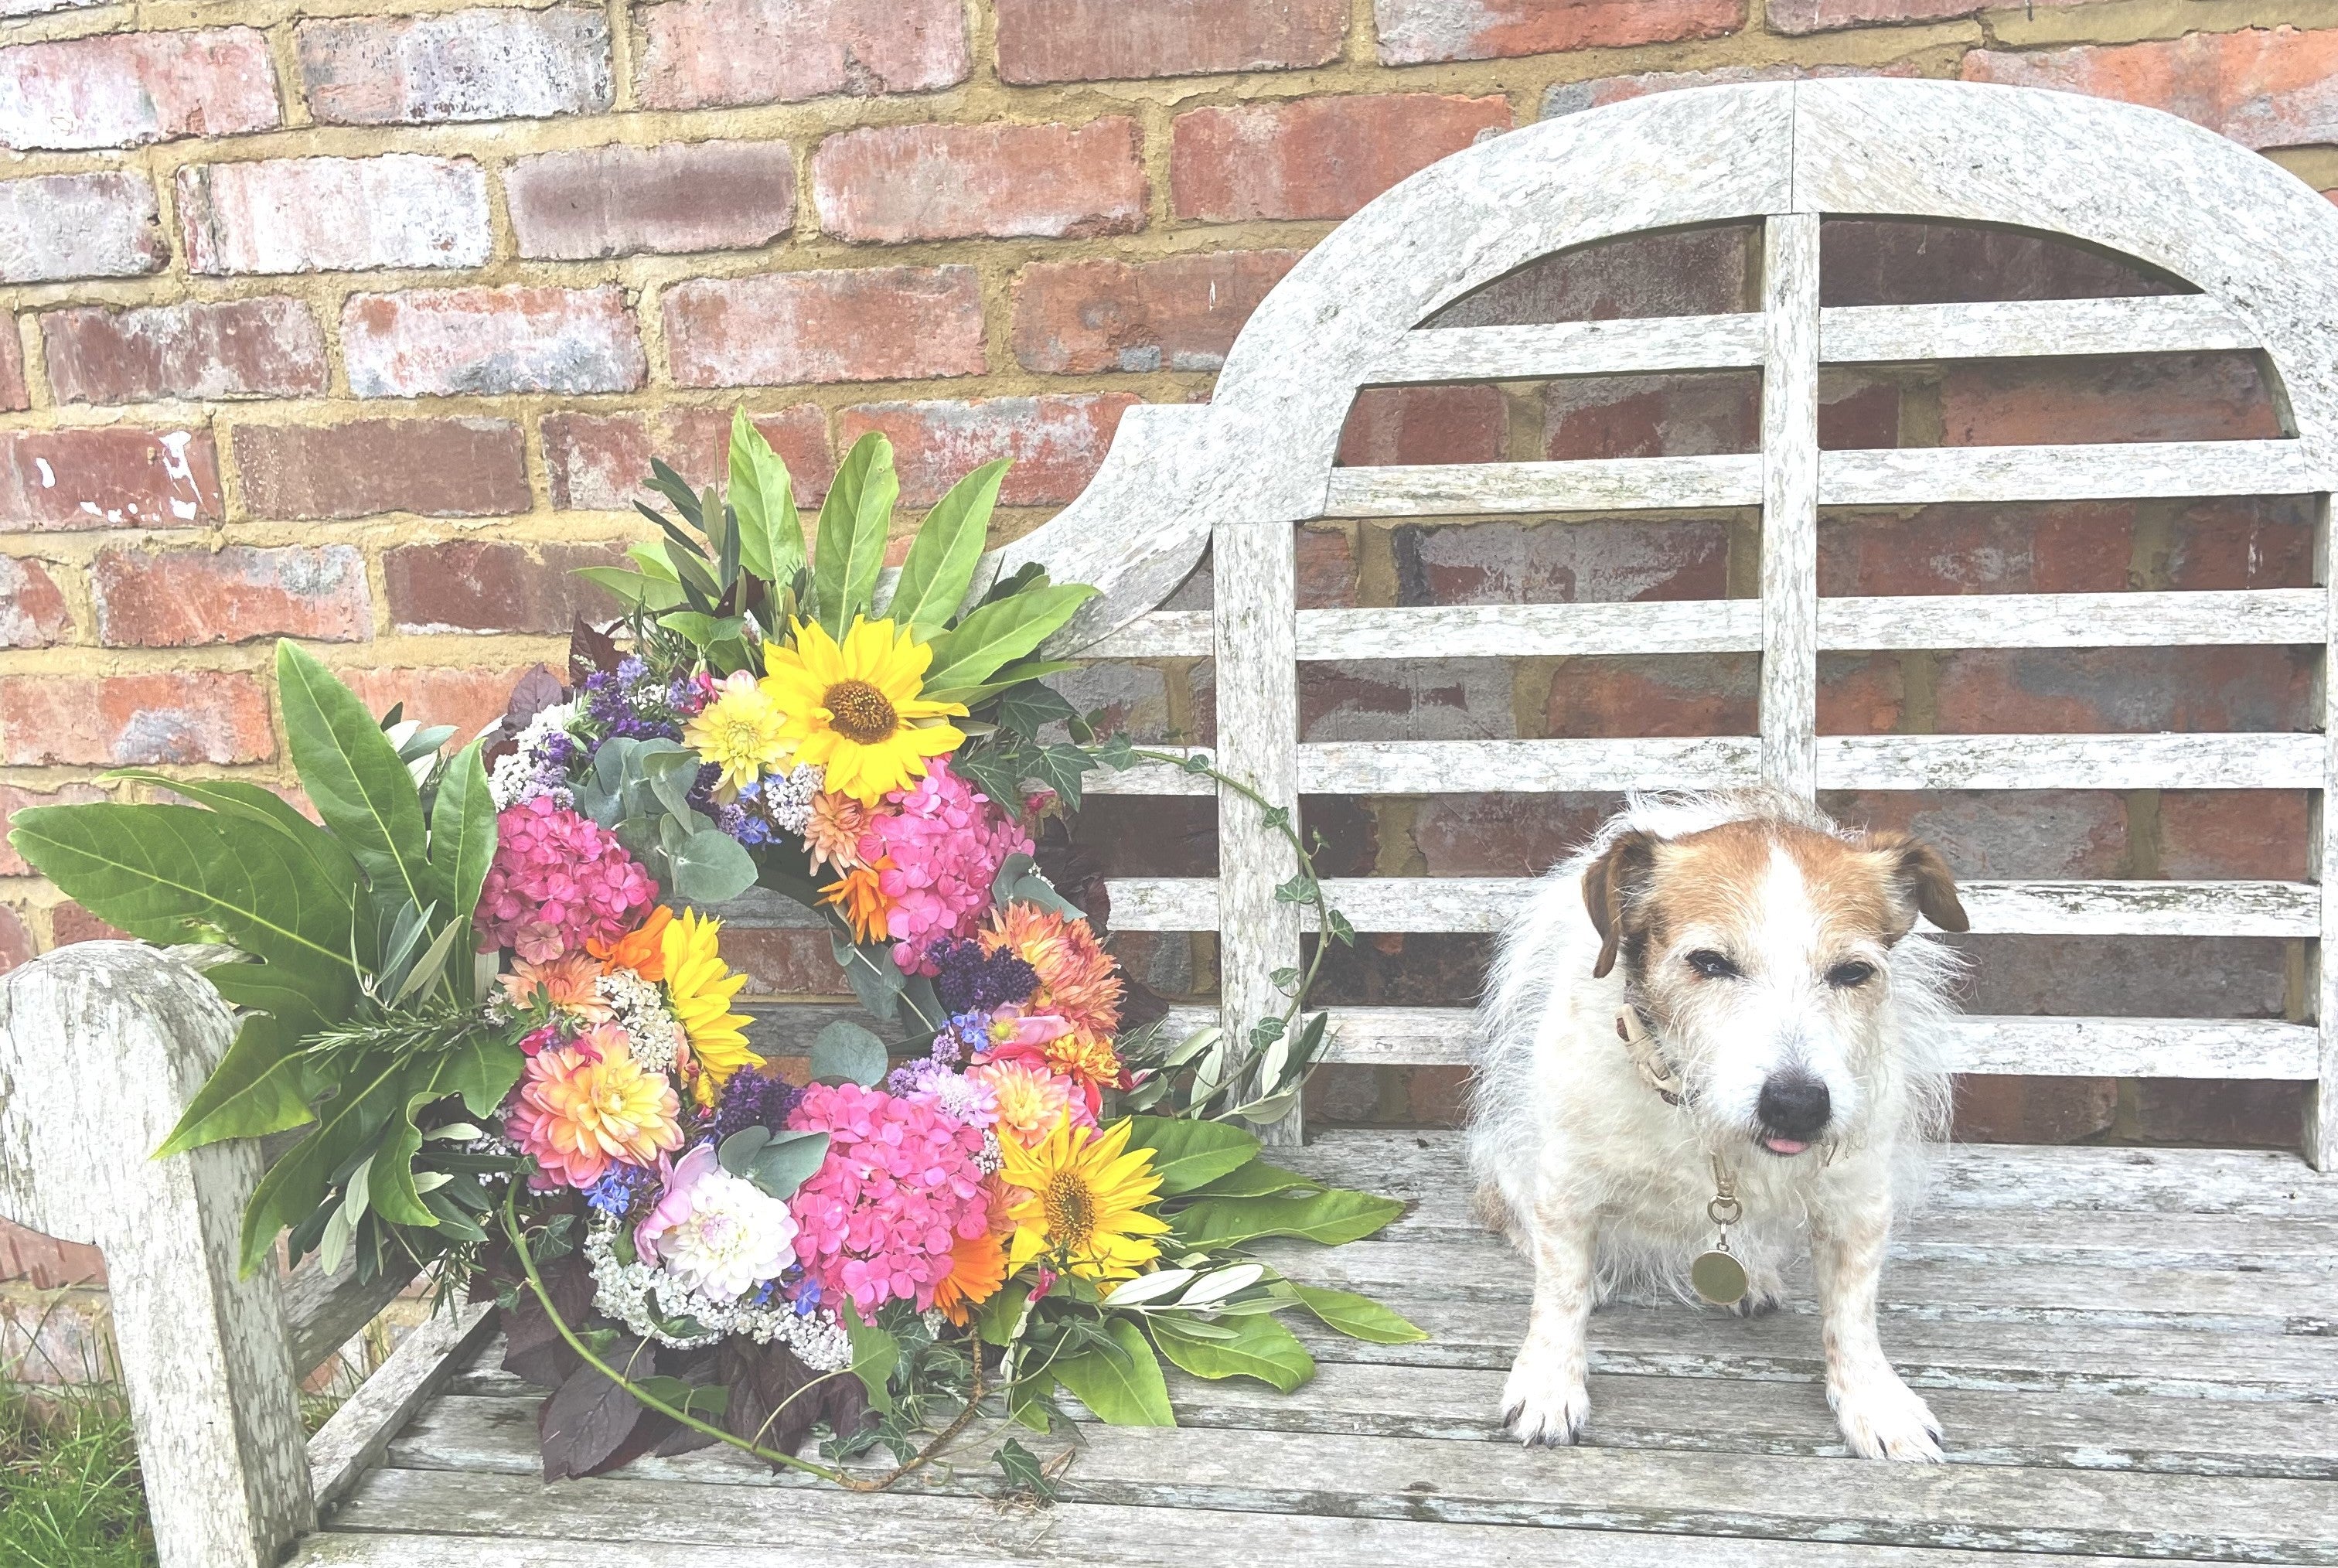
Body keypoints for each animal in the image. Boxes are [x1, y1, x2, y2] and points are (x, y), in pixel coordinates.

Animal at [1467, 788, 1967, 1462]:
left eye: (1852, 973)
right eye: (1709, 962)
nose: (1798, 1104)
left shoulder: (1857, 1203)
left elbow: (1855, 1314)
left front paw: (1876, 1404)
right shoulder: (1566, 1187)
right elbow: (1560, 1292)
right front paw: (1549, 1387)